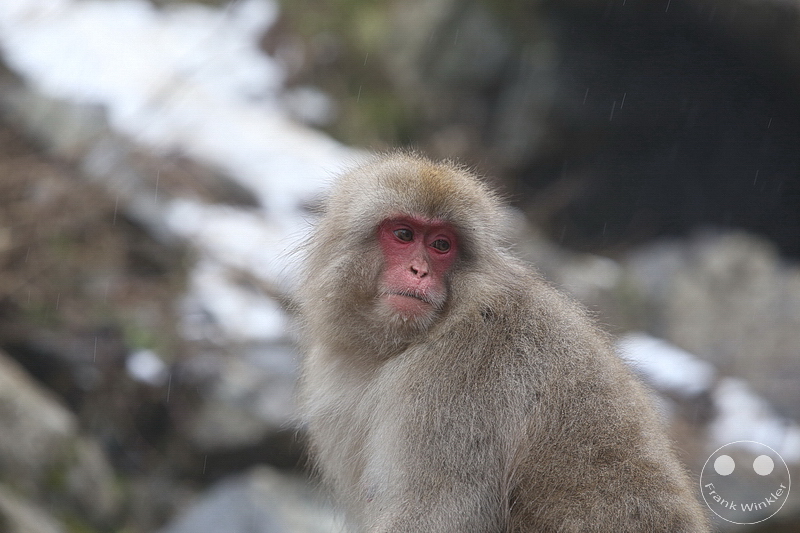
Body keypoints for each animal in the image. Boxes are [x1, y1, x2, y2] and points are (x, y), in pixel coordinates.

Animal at [296, 152, 709, 532]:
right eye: (403, 235)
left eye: (441, 245)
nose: (419, 271)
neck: (404, 342)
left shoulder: (456, 378)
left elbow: (439, 510)